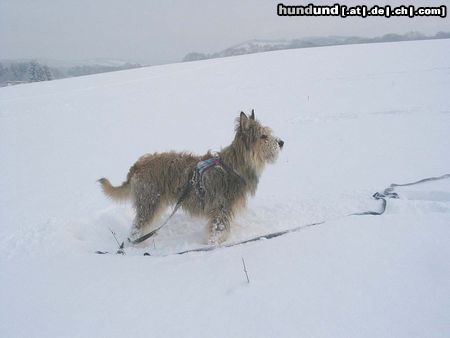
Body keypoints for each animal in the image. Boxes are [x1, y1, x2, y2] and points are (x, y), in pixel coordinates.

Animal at [98, 112, 284, 244]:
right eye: (263, 136)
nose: (281, 142)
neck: (234, 166)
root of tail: (137, 166)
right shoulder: (221, 207)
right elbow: (217, 229)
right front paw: (213, 245)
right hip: (149, 203)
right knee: (136, 229)